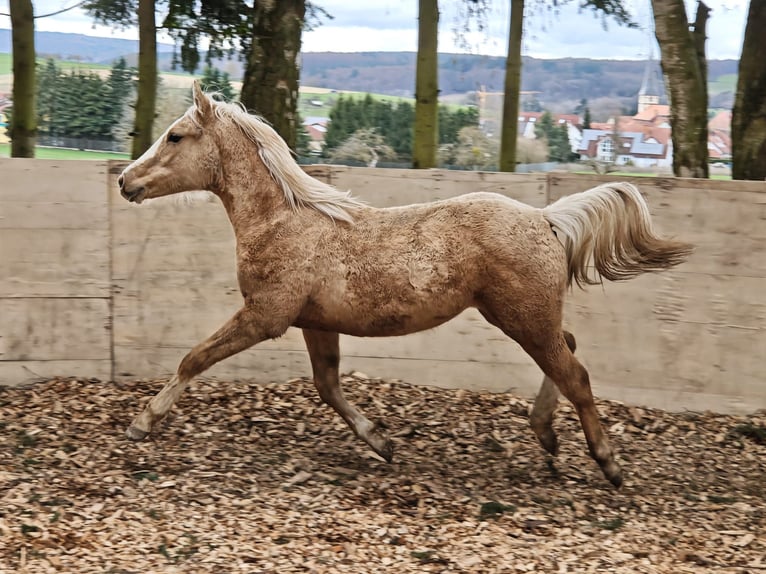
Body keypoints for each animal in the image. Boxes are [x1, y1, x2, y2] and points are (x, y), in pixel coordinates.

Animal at [117, 81, 692, 488]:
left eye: (175, 136)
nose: (126, 181)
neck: (284, 221)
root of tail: (545, 218)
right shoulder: (314, 323)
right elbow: (327, 386)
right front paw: (381, 442)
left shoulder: (265, 316)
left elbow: (194, 358)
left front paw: (143, 422)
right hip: (525, 317)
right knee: (567, 353)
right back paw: (547, 436)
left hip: (522, 318)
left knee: (576, 374)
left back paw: (607, 463)